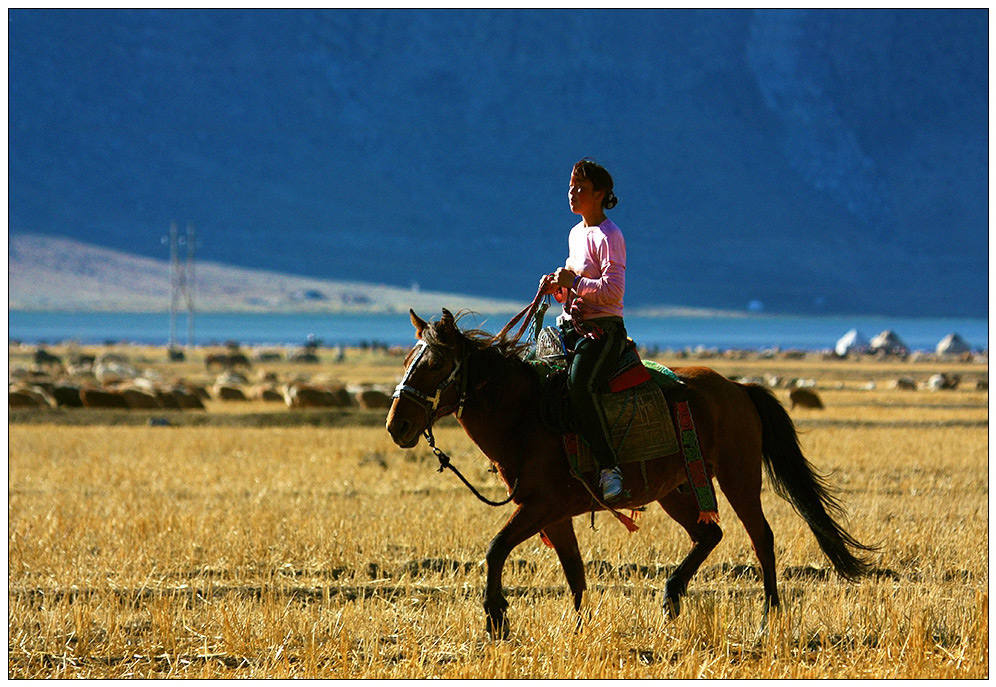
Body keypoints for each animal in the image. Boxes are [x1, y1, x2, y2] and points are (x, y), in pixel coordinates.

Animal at [386, 310, 876, 640]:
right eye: (408, 357)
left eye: (434, 363)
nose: (397, 426)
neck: (526, 416)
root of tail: (739, 389)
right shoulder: (553, 515)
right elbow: (574, 571)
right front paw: (580, 627)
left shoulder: (539, 505)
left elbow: (494, 549)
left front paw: (496, 618)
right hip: (673, 489)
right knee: (709, 535)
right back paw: (671, 597)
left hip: (738, 478)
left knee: (762, 537)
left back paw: (766, 620)